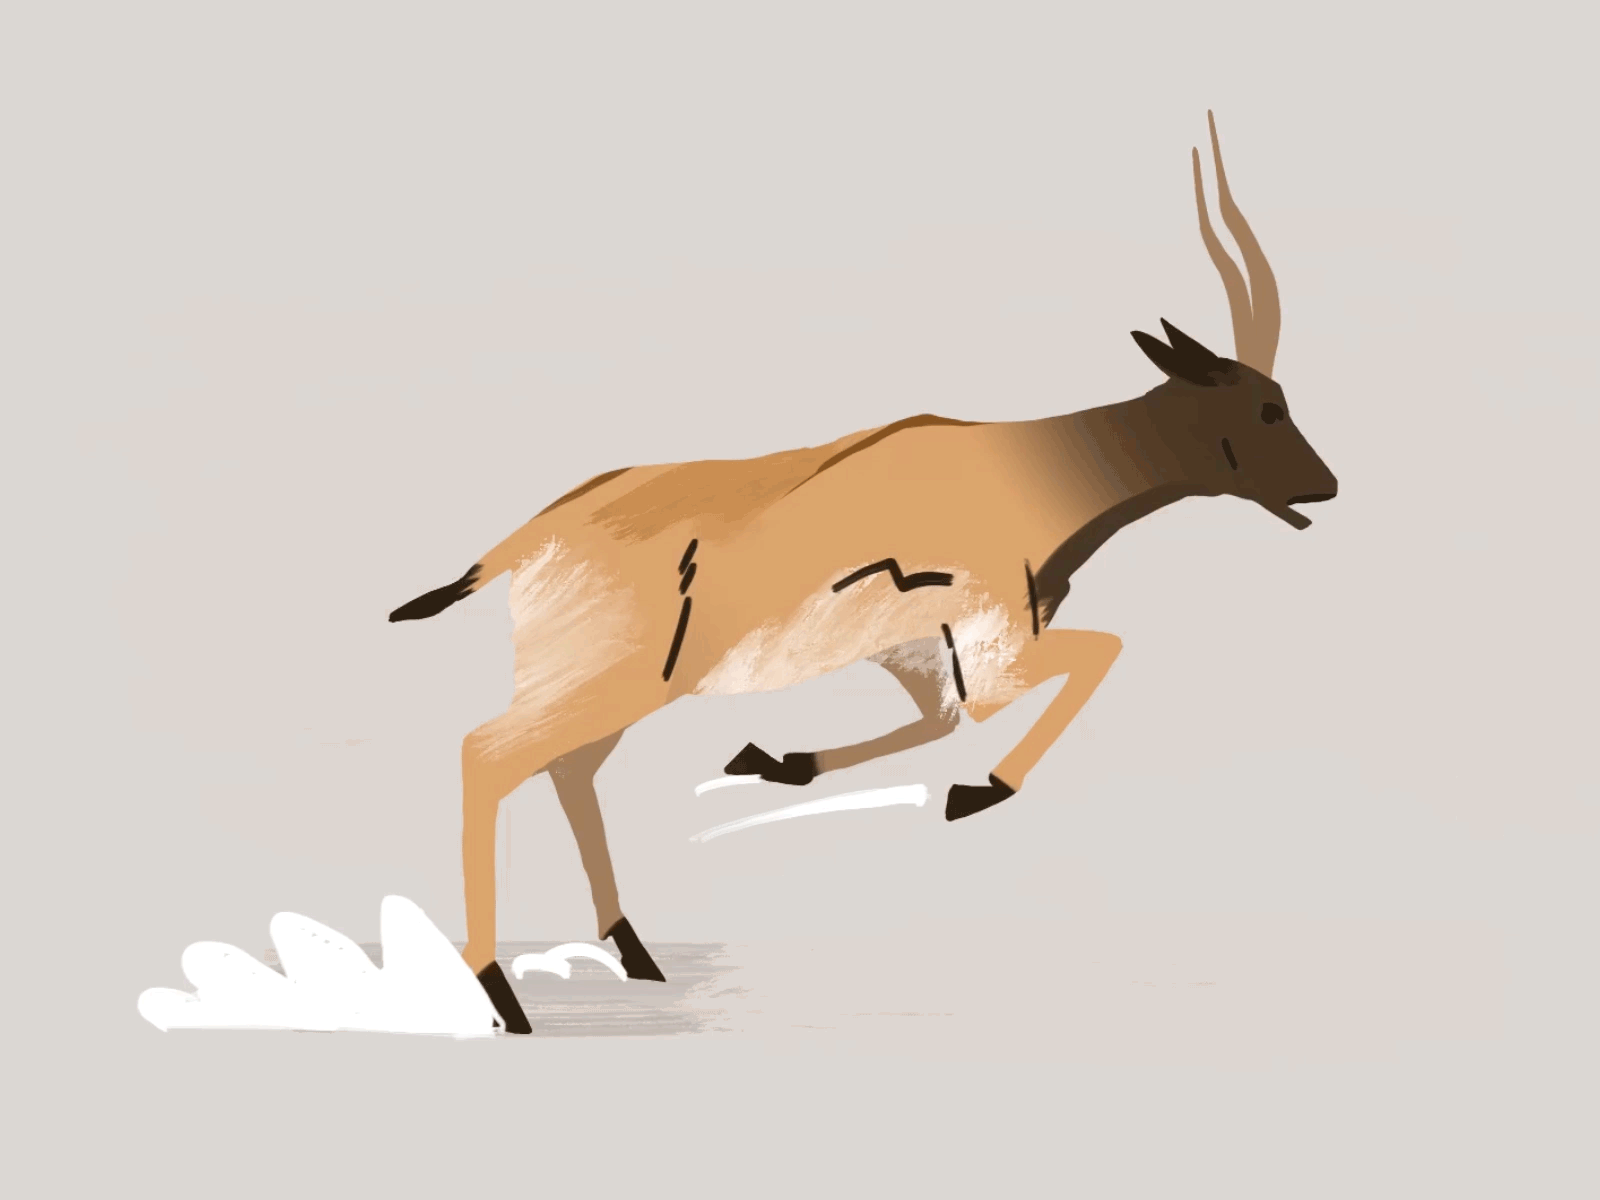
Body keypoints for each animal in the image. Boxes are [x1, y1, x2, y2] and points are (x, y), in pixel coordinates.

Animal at [388, 112, 1338, 1033]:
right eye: (1266, 406)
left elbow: (937, 722)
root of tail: (524, 540)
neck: (1036, 467)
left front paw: (777, 760)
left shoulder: (921, 655)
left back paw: (633, 951)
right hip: (606, 686)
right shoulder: (996, 647)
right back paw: (503, 993)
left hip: (617, 690)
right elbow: (1094, 656)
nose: (1324, 487)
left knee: (569, 771)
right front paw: (975, 793)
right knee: (488, 754)